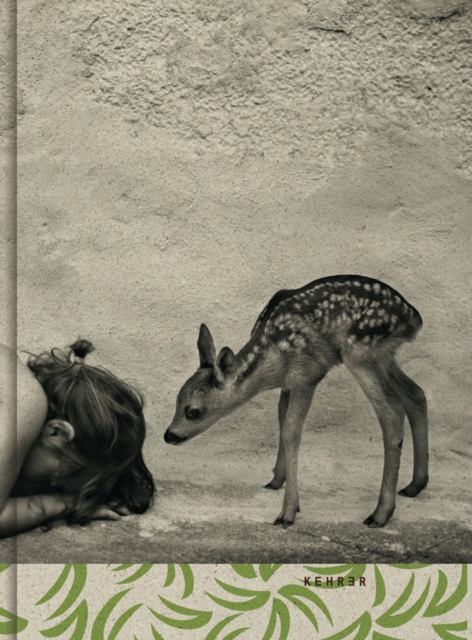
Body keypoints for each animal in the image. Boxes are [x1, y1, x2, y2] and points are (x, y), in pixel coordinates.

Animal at [164, 275, 428, 528]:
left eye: (193, 411)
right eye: (176, 400)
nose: (169, 435)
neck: (271, 362)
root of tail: (414, 318)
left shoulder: (307, 374)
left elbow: (291, 431)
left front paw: (287, 512)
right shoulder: (287, 384)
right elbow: (281, 420)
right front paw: (276, 480)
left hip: (361, 351)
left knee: (392, 413)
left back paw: (380, 513)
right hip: (383, 355)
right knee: (416, 394)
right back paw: (415, 485)